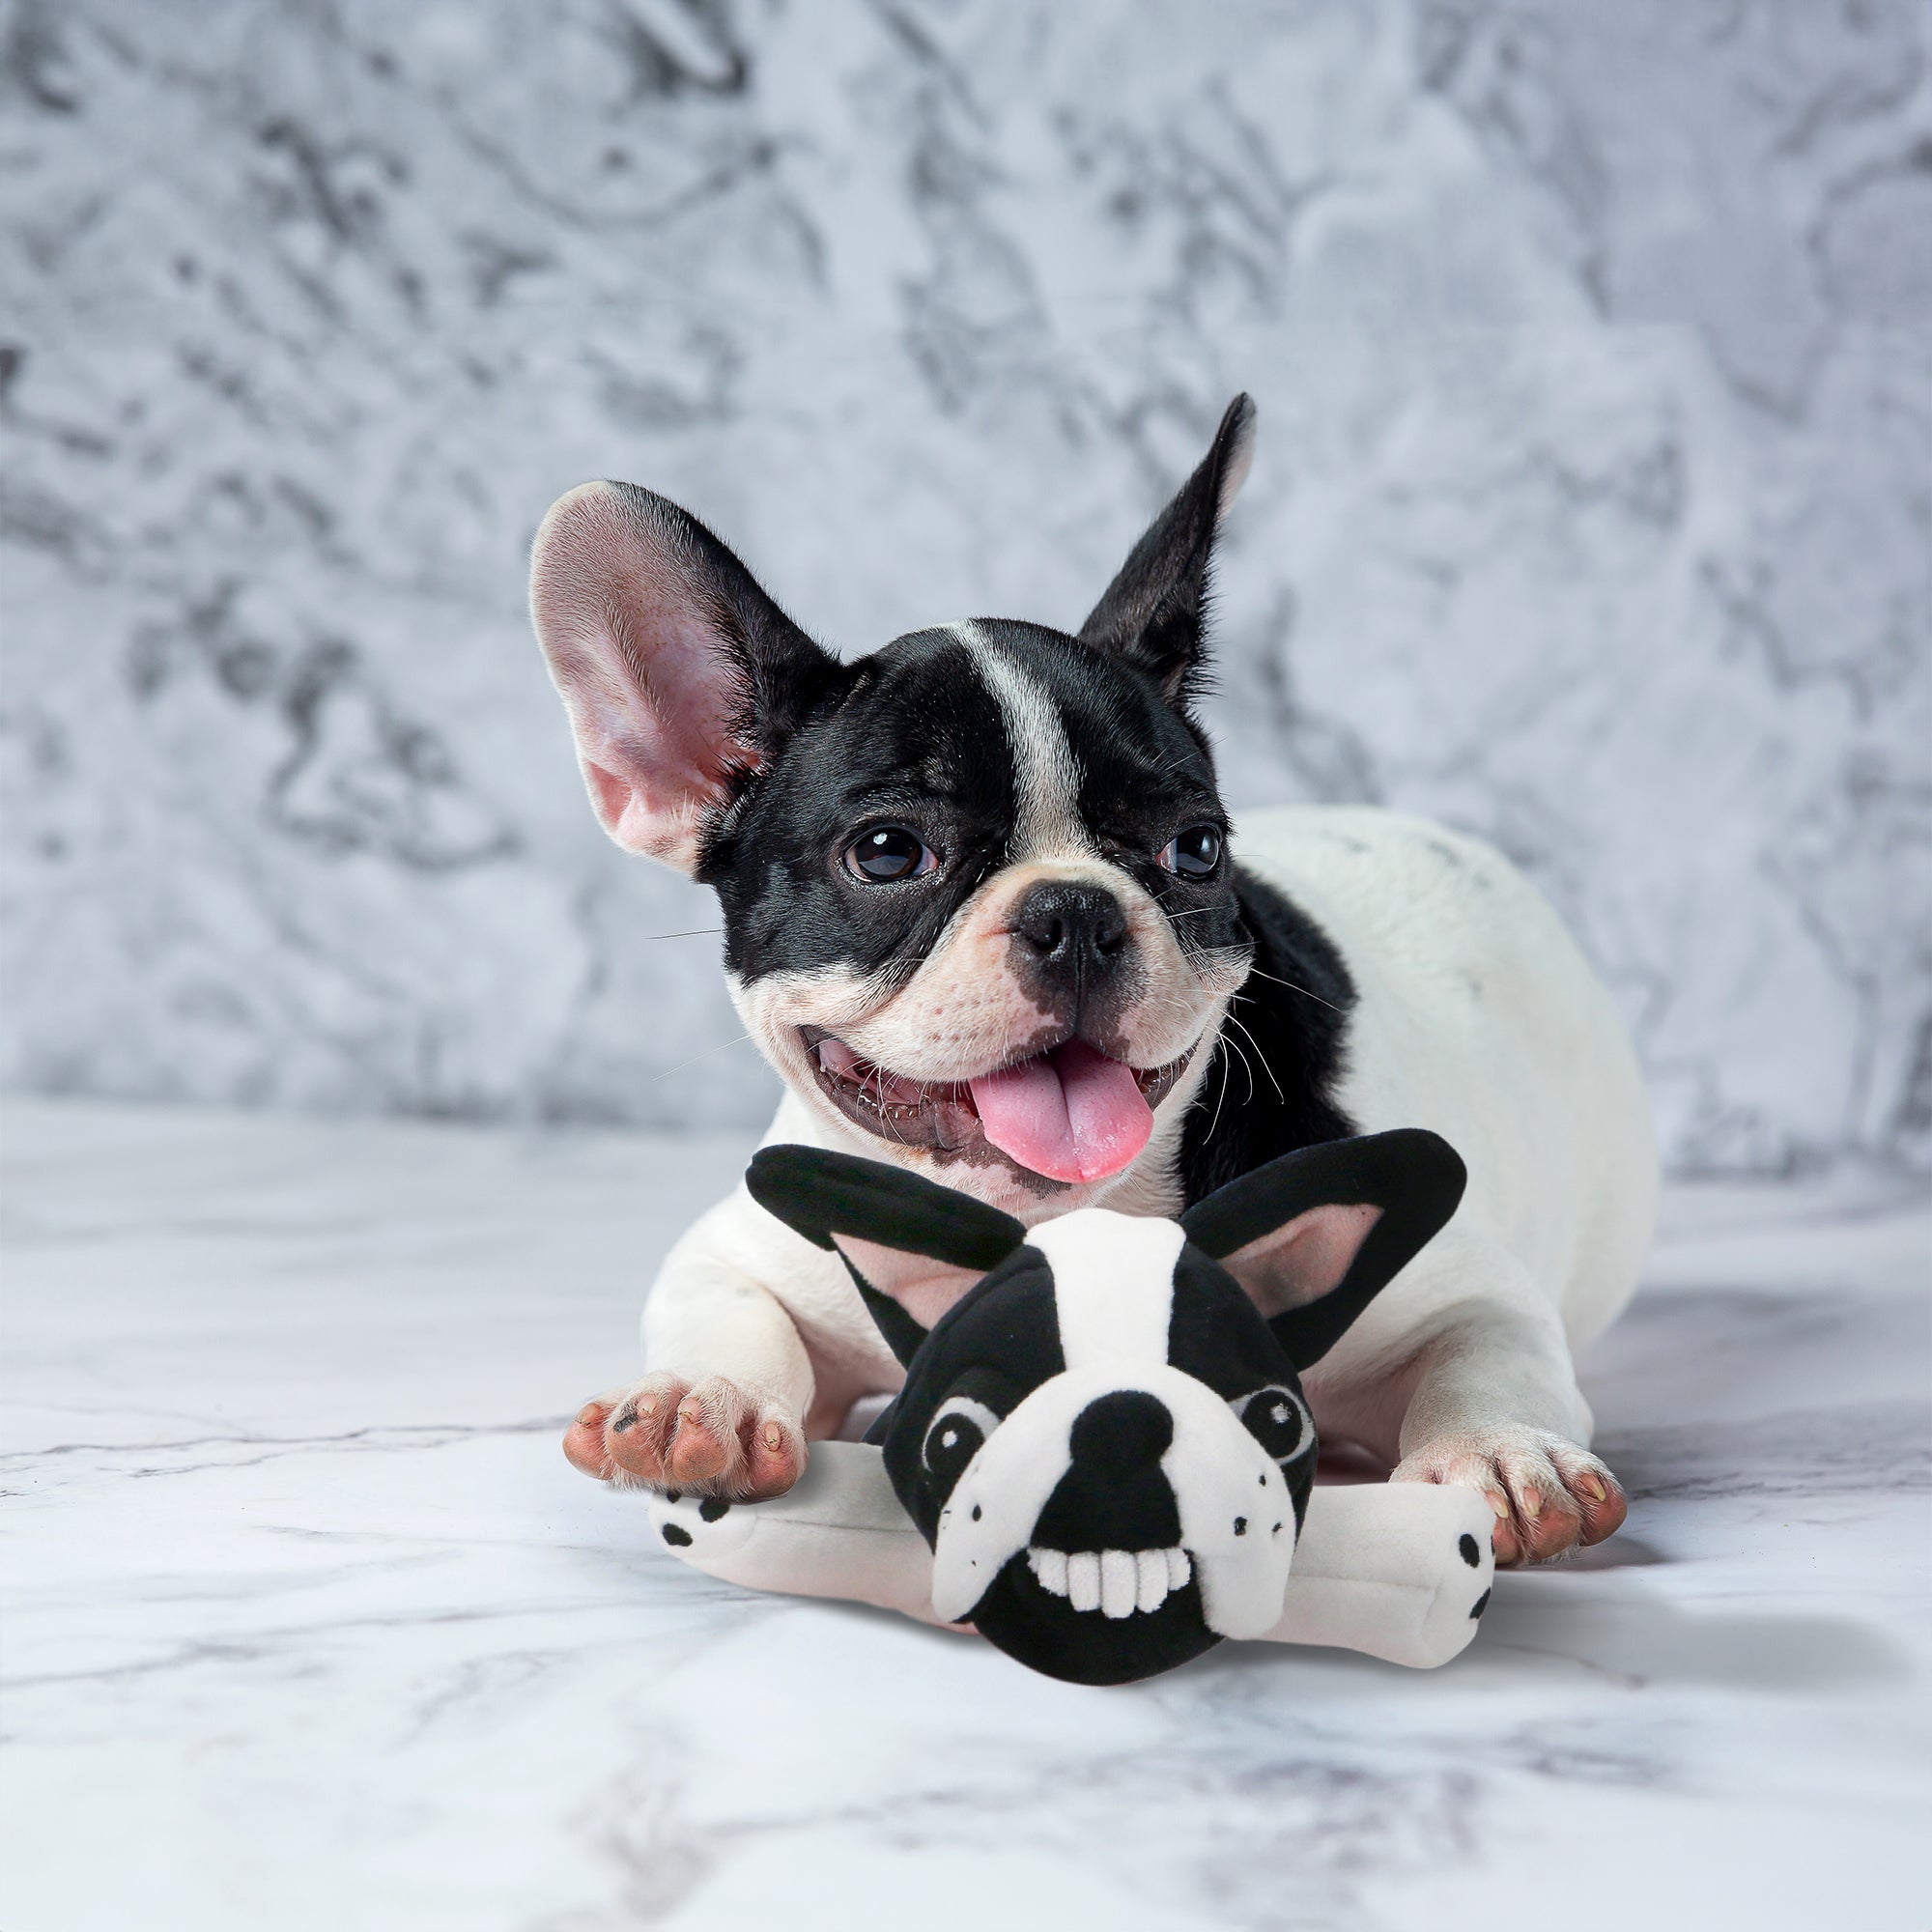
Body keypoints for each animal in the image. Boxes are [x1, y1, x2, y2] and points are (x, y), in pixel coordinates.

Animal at [537, 396, 1654, 1569]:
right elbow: (730, 1312)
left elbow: (1484, 1349)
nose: (1073, 910)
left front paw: (1504, 1455)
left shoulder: (1456, 1280)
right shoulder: (749, 1246)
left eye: (1196, 849)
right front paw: (692, 1399)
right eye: (886, 853)